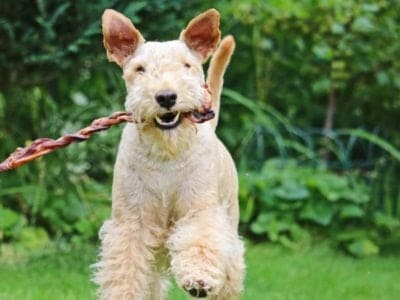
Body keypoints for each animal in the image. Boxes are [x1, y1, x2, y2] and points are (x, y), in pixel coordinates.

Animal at [93, 8, 244, 298]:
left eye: (186, 65)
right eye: (139, 69)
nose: (165, 97)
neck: (167, 154)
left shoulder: (200, 209)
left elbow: (201, 239)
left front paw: (198, 279)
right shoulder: (132, 221)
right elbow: (126, 269)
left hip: (229, 224)